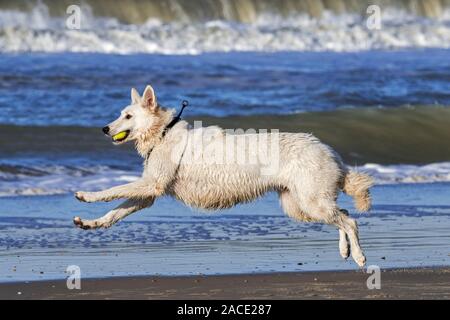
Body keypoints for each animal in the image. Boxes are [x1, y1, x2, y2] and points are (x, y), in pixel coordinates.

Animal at [75, 85, 374, 268]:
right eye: (120, 114)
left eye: (127, 116)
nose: (104, 128)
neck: (162, 132)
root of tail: (329, 150)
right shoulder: (149, 193)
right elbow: (114, 213)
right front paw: (91, 223)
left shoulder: (151, 184)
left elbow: (111, 190)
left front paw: (87, 195)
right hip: (301, 206)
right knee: (344, 214)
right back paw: (344, 250)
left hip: (310, 202)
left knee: (350, 221)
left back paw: (359, 256)